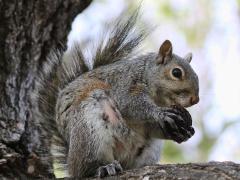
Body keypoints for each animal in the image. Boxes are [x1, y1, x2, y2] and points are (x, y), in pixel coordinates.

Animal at [33, 8, 199, 179]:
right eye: (176, 72)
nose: (195, 99)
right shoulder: (124, 84)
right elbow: (130, 105)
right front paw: (160, 113)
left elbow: (152, 127)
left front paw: (183, 132)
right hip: (89, 133)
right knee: (85, 169)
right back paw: (103, 167)